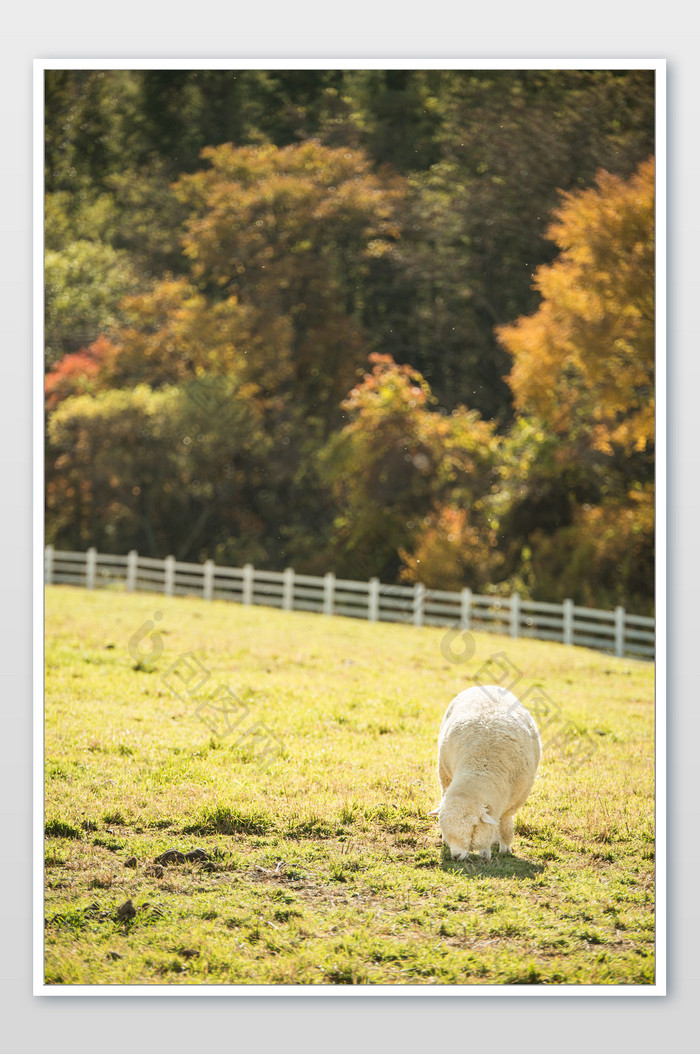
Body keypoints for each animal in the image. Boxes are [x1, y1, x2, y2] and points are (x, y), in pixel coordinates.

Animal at [425, 687, 539, 860]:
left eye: (473, 827)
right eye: (442, 826)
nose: (456, 856)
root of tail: (488, 686)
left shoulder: (514, 801)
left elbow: (505, 824)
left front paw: (504, 847)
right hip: (444, 772)